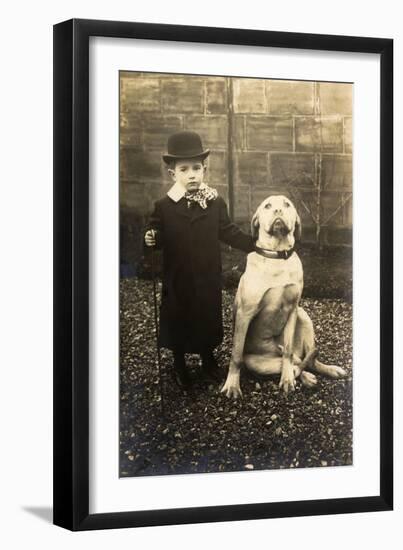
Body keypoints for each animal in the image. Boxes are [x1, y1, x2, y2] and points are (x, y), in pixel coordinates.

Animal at [221, 196, 348, 398]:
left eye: (287, 204)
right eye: (267, 206)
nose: (278, 211)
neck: (277, 256)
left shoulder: (292, 309)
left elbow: (287, 351)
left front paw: (287, 380)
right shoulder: (244, 314)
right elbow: (236, 355)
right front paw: (232, 385)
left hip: (303, 316)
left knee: (303, 359)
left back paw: (327, 370)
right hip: (258, 363)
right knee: (296, 364)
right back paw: (306, 377)